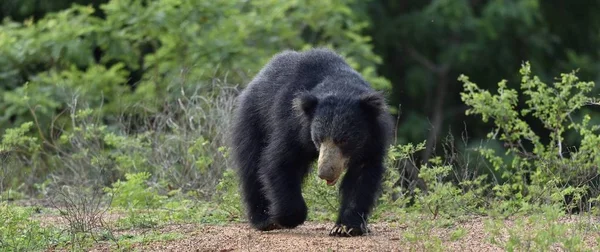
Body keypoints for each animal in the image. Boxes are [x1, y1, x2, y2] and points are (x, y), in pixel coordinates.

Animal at [230, 48, 394, 237]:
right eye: (319, 139)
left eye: (344, 140)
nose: (325, 173)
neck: (340, 86)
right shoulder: (293, 125)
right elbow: (280, 161)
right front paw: (287, 217)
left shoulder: (373, 139)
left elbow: (362, 176)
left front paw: (345, 227)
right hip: (254, 120)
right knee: (251, 167)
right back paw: (264, 220)